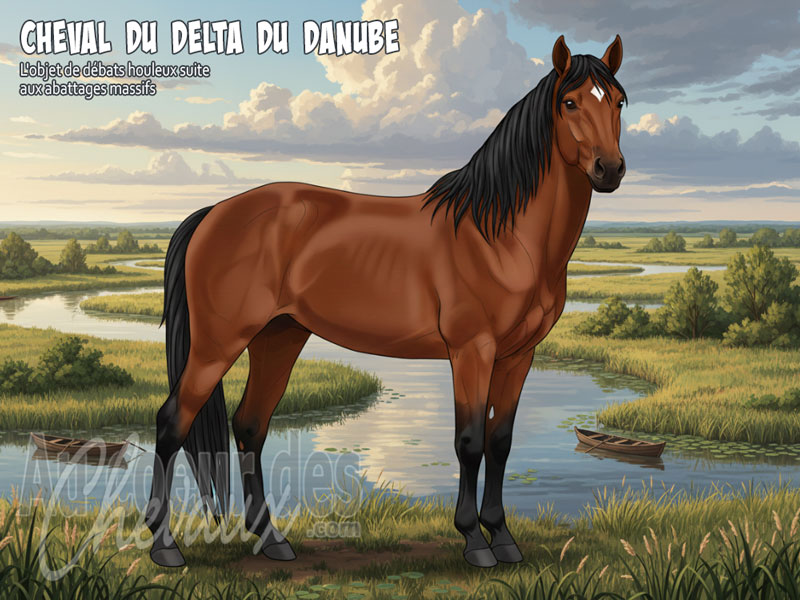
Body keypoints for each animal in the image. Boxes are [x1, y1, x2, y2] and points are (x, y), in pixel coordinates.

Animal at [146, 34, 627, 569]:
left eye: (618, 102)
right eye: (569, 103)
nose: (609, 169)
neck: (502, 236)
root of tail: (215, 212)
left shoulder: (519, 355)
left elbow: (500, 443)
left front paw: (503, 538)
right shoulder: (471, 351)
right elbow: (469, 442)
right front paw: (474, 541)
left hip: (279, 336)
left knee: (251, 426)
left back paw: (271, 540)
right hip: (218, 342)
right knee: (172, 423)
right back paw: (165, 546)